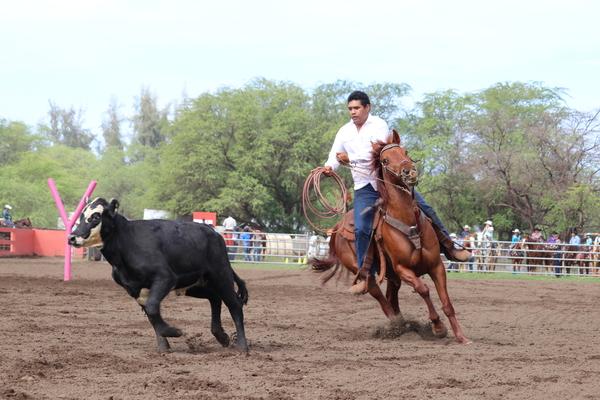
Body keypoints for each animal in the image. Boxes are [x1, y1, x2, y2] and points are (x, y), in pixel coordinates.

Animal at [68, 198, 248, 352]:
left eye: (96, 216)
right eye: (81, 215)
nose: (72, 237)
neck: (126, 243)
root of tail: (213, 232)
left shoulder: (165, 278)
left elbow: (153, 307)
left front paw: (174, 331)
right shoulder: (135, 290)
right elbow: (151, 315)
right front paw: (163, 347)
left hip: (221, 274)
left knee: (234, 304)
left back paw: (242, 346)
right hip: (195, 284)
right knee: (215, 298)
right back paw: (222, 337)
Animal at [312, 130, 472, 344]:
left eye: (405, 151)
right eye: (385, 160)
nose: (409, 172)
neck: (407, 220)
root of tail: (338, 227)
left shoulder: (436, 266)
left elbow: (446, 302)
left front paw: (461, 337)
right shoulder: (403, 269)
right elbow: (423, 289)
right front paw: (437, 327)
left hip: (392, 276)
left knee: (391, 296)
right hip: (366, 271)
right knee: (379, 295)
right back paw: (397, 324)